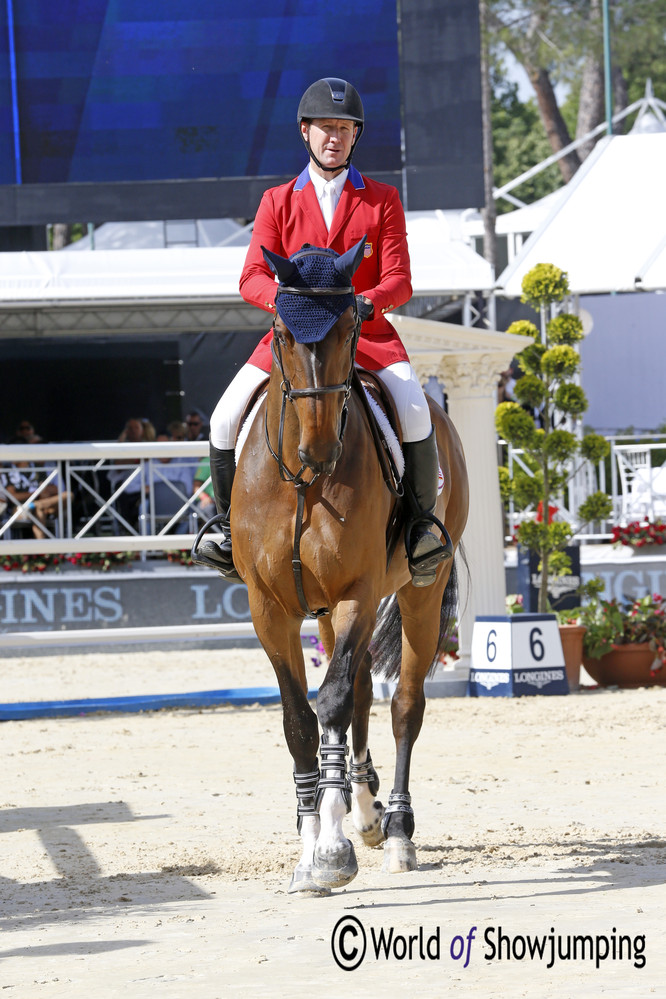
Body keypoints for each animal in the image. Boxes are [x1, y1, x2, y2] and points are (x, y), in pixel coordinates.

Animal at [231, 238, 470, 896]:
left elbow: (333, 702)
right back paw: (366, 813)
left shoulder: (358, 592)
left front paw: (332, 850)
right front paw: (310, 841)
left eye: (351, 328)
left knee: (403, 704)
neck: (303, 482)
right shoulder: (270, 608)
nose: (317, 450)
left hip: (418, 592)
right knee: (363, 689)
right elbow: (300, 719)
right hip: (323, 612)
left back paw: (396, 832)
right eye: (283, 331)